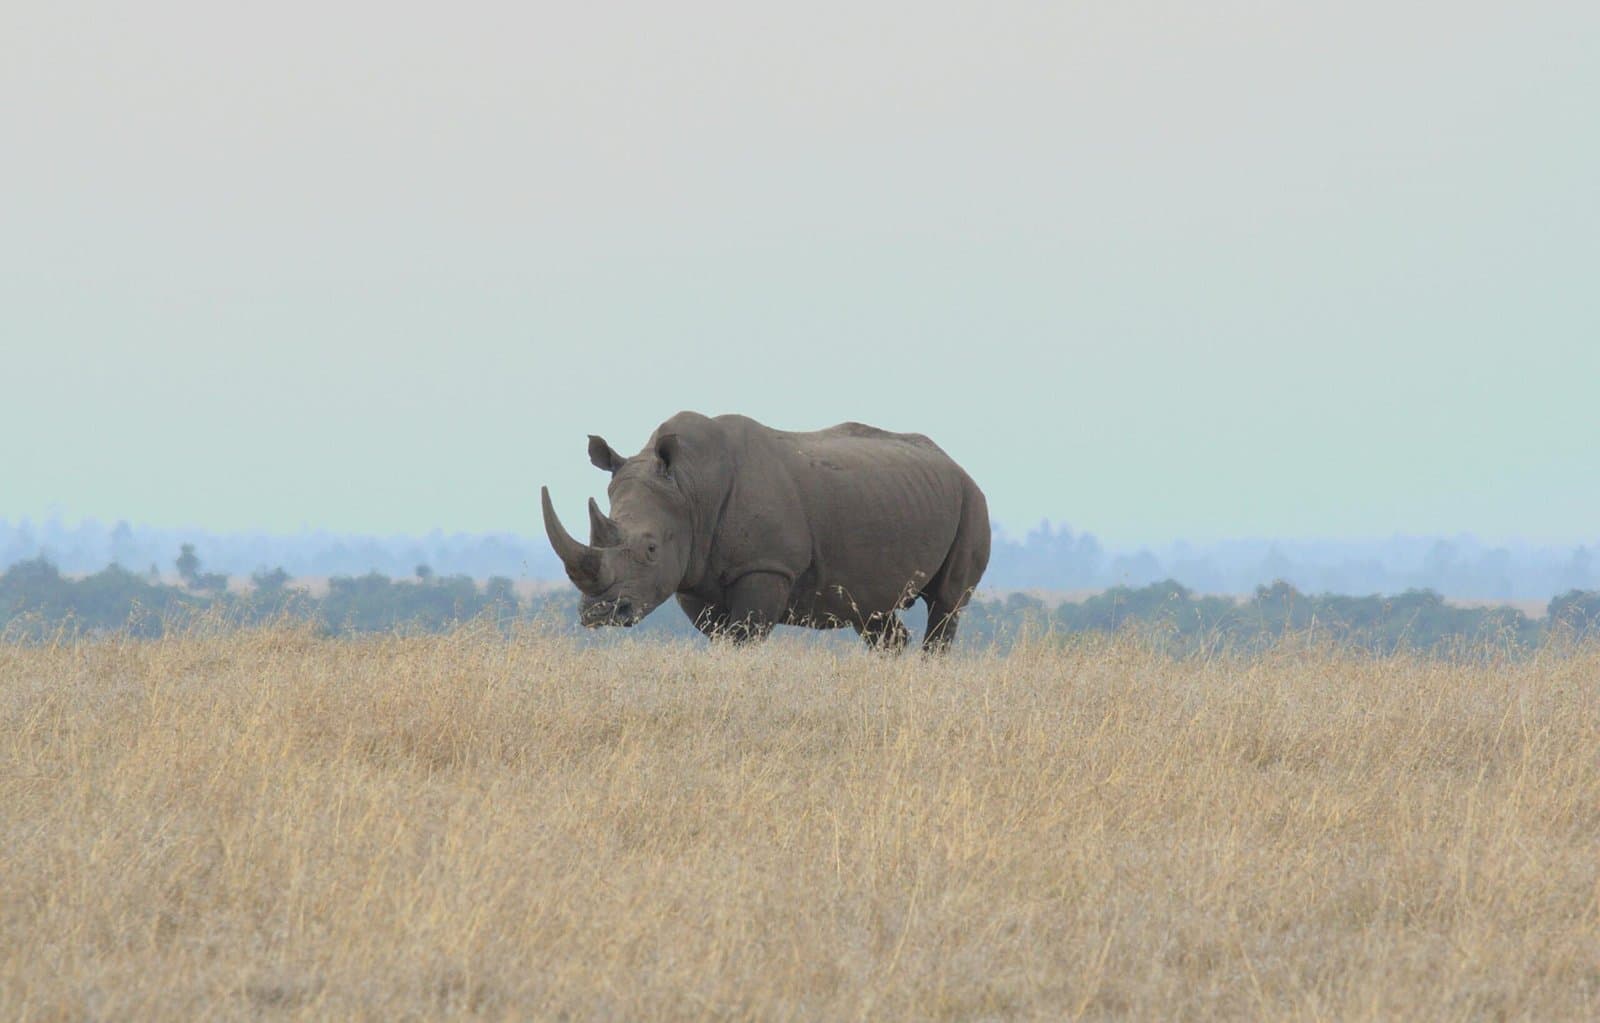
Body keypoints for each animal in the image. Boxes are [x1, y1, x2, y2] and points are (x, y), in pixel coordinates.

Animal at [541, 411, 990, 650]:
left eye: (651, 549)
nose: (599, 614)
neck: (689, 488)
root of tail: (955, 463)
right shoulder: (694, 574)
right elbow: (722, 637)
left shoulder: (766, 565)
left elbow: (744, 635)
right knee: (872, 613)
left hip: (972, 500)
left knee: (946, 605)